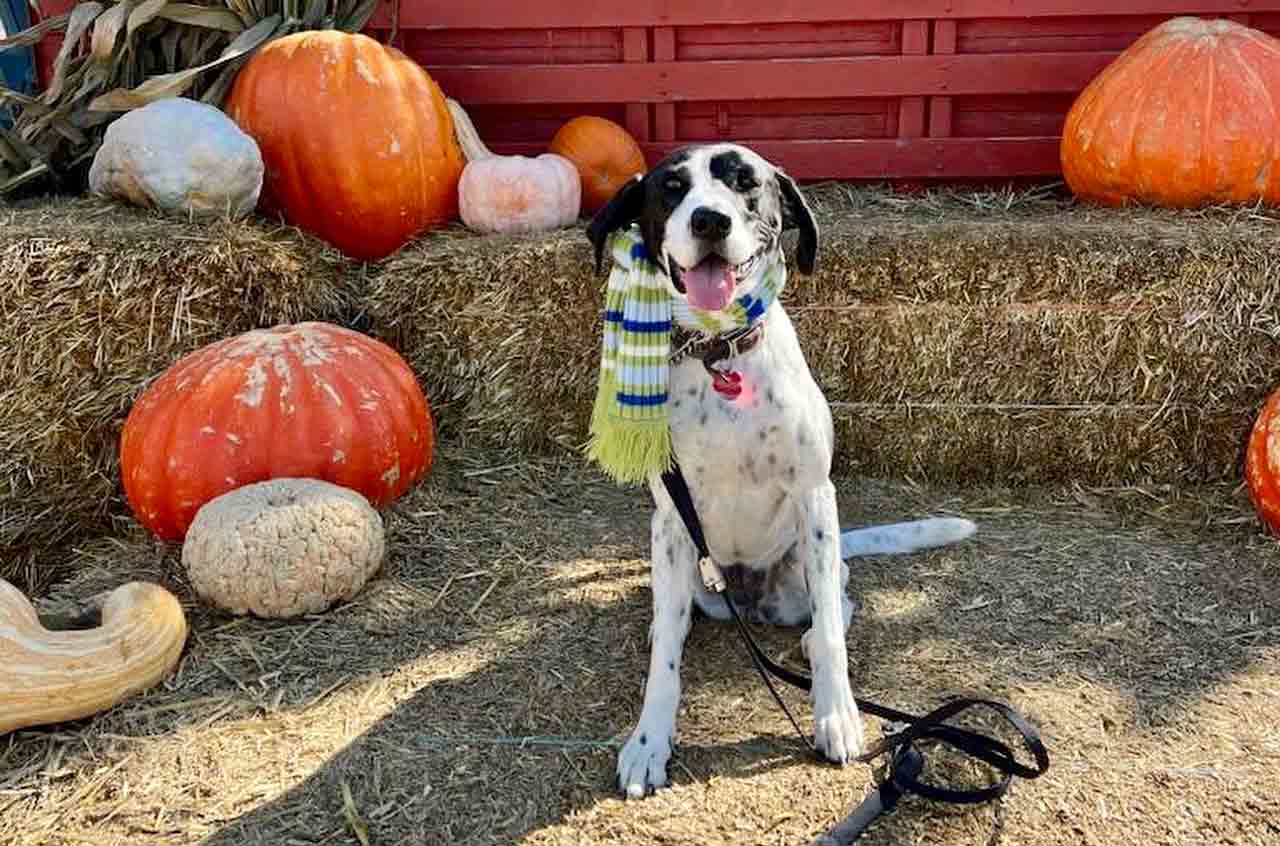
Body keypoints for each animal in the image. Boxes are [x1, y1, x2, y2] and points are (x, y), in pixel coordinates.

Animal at [588, 145, 977, 798]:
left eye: (746, 181)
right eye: (671, 188)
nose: (710, 220)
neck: (721, 355)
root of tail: (748, 599)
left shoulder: (815, 497)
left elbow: (835, 633)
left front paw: (836, 715)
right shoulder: (670, 519)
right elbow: (665, 663)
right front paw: (648, 741)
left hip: (807, 566)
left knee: (836, 600)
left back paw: (815, 634)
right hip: (688, 565)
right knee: (677, 610)